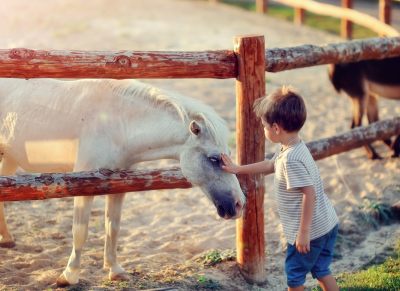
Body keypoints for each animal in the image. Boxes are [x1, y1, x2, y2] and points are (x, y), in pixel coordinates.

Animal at [0, 78, 245, 288]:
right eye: (214, 159)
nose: (239, 205)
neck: (116, 124)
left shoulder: (119, 185)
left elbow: (113, 227)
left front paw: (115, 270)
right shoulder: (83, 186)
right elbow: (80, 231)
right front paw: (68, 277)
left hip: (10, 158)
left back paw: (8, 239)